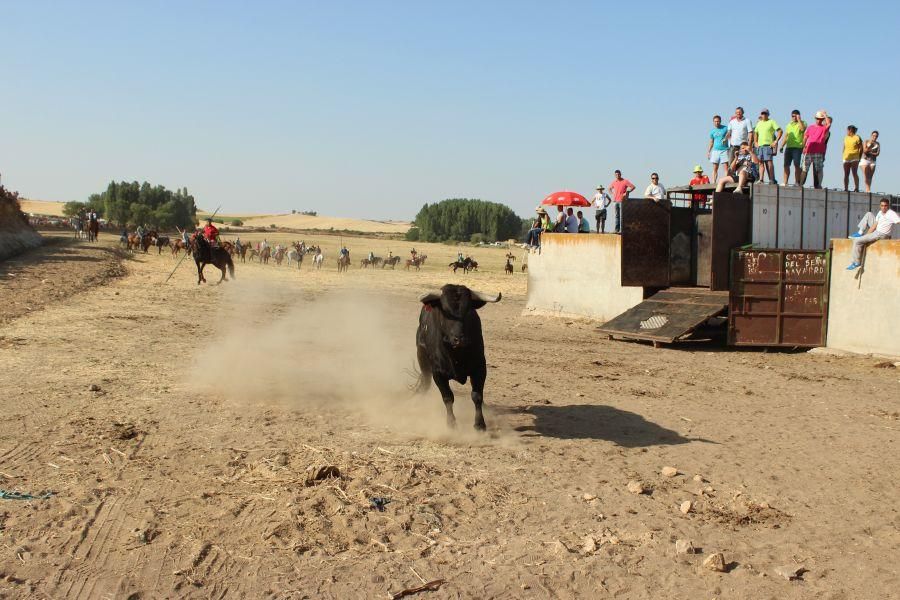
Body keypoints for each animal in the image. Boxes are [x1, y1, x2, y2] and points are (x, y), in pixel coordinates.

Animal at [414, 286, 500, 432]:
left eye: (468, 311)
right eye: (445, 311)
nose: (459, 339)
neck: (457, 354)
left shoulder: (480, 369)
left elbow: (477, 396)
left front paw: (480, 424)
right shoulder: (438, 374)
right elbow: (448, 397)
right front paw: (451, 423)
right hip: (422, 360)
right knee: (425, 384)